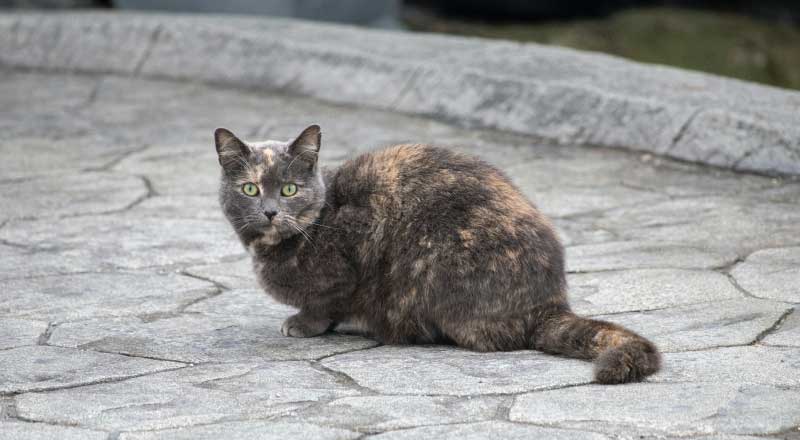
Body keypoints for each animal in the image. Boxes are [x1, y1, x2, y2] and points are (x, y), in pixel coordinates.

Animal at [214, 123, 664, 382]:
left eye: (289, 189)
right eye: (250, 189)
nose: (270, 211)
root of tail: (548, 304)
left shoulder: (354, 252)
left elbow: (327, 303)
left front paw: (305, 323)